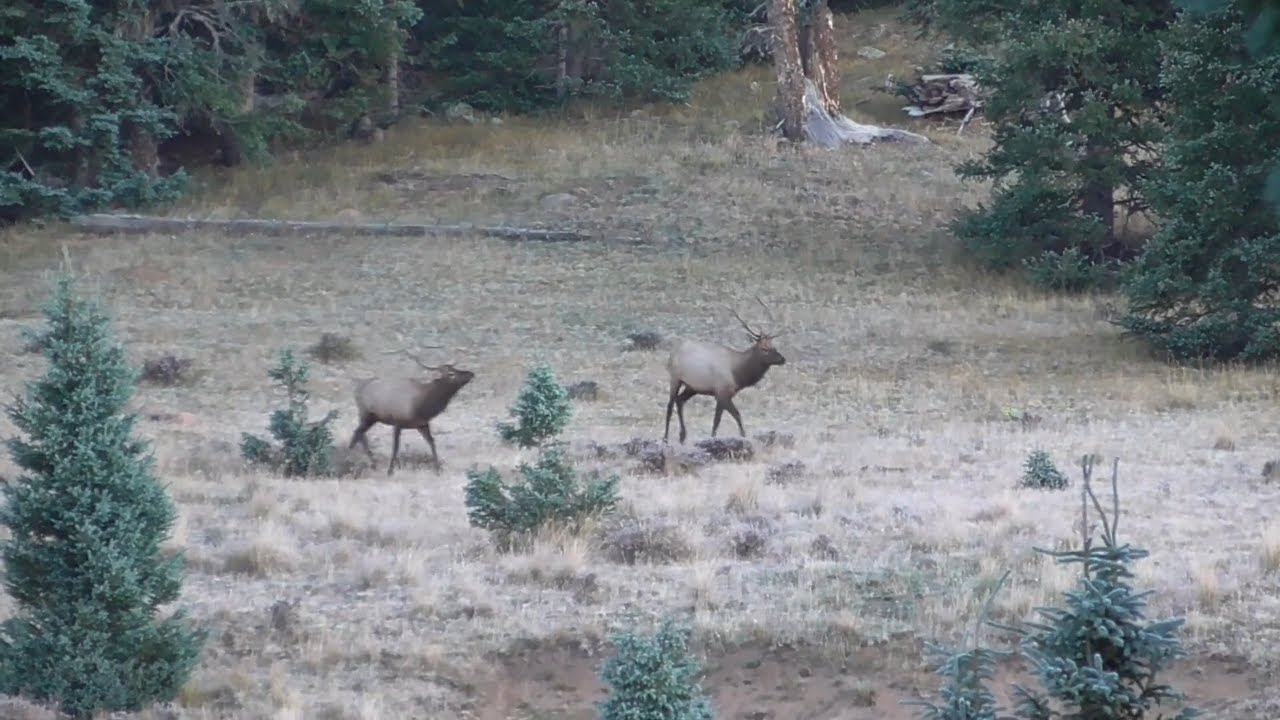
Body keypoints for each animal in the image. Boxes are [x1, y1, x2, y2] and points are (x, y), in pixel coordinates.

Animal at [663, 299, 788, 444]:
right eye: (764, 349)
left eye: (774, 346)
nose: (782, 359)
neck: (739, 374)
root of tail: (671, 354)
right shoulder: (721, 392)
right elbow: (727, 417)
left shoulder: (726, 394)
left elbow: (723, 418)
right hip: (675, 378)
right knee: (670, 405)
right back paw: (665, 438)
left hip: (692, 387)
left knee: (679, 401)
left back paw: (682, 436)